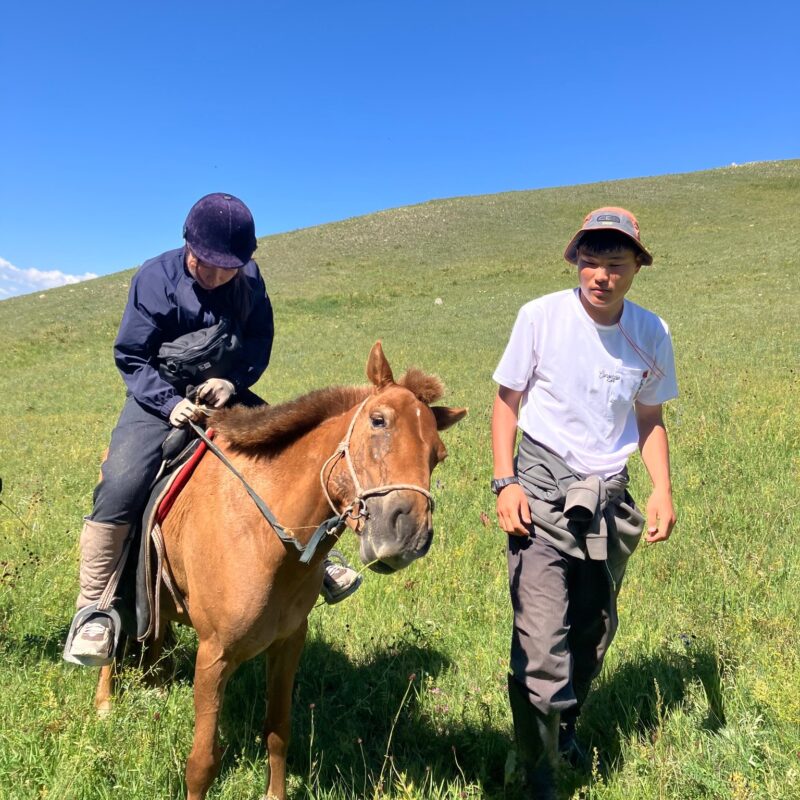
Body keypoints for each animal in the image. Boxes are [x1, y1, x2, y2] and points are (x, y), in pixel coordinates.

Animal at [94, 342, 466, 800]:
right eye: (378, 420)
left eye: (438, 455)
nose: (408, 532)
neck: (264, 538)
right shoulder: (213, 656)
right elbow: (202, 763)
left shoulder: (288, 644)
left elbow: (277, 731)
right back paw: (104, 700)